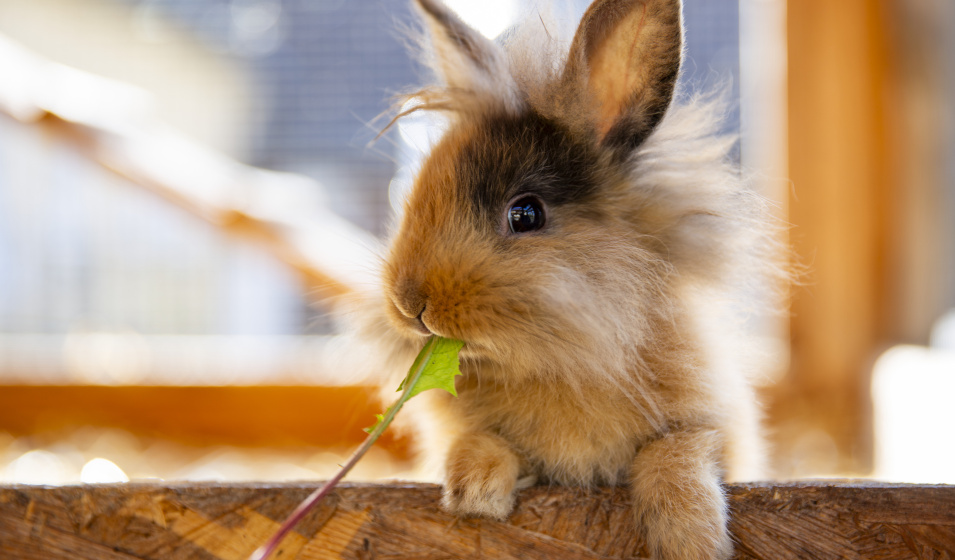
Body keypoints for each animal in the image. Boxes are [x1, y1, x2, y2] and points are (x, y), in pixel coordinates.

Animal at [361, 0, 782, 558]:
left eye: (525, 215)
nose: (409, 304)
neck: (558, 363)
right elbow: (482, 441)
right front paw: (474, 492)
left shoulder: (714, 428)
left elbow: (676, 451)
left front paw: (689, 537)